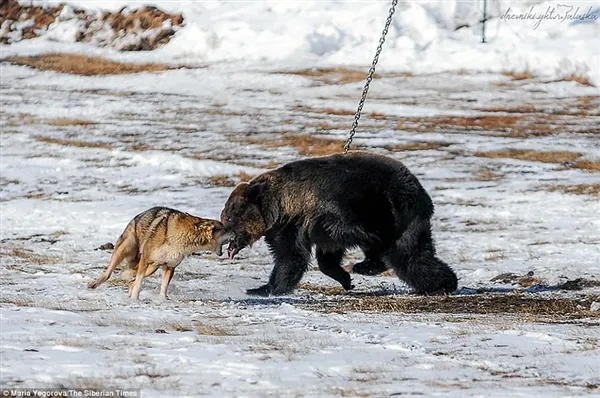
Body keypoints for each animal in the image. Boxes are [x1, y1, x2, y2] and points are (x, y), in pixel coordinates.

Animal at [86, 207, 232, 300]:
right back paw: (94, 284)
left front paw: (163, 300)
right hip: (125, 250)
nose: (235, 233)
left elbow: (164, 286)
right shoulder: (145, 259)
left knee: (131, 280)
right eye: (225, 229)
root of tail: (138, 215)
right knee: (109, 273)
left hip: (153, 267)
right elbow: (139, 283)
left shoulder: (170, 266)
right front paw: (135, 299)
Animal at [221, 152, 460, 296]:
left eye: (230, 216)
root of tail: (419, 193)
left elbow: (291, 258)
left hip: (389, 210)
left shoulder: (307, 219)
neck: (281, 205)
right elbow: (324, 257)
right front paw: (345, 279)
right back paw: (441, 283)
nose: (222, 228)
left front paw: (265, 288)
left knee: (402, 253)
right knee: (415, 256)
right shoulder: (312, 229)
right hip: (409, 222)